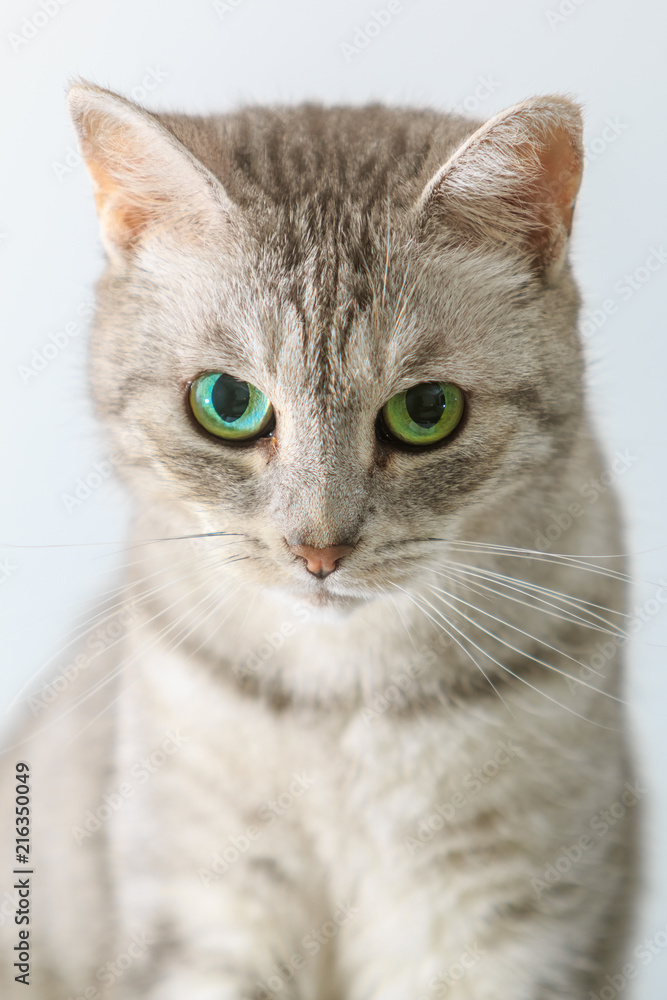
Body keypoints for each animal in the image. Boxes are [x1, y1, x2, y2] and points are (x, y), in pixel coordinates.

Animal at [0, 82, 636, 996]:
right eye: (227, 403)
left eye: (426, 410)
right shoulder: (205, 912)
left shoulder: (505, 924)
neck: (345, 701)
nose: (320, 552)